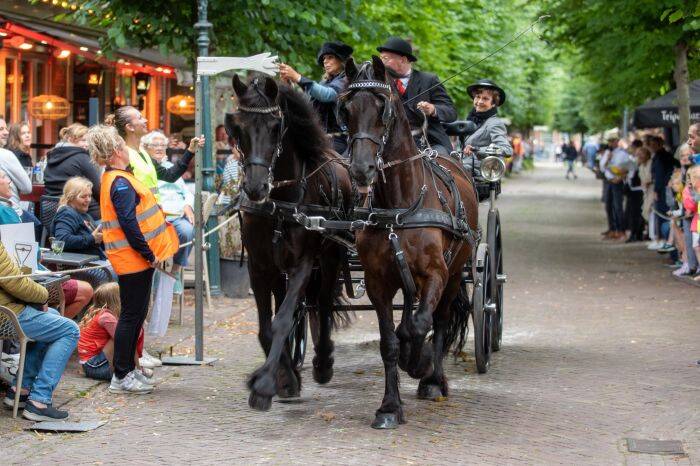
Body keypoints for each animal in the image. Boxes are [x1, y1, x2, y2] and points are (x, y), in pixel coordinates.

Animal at [227, 74, 352, 410]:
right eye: (238, 127)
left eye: (275, 126)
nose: (255, 187)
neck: (280, 203)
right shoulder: (259, 266)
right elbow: (266, 326)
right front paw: (283, 380)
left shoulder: (302, 264)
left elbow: (283, 320)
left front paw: (264, 386)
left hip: (331, 257)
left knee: (322, 303)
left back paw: (322, 363)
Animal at [340, 58, 482, 430]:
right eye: (346, 109)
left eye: (383, 108)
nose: (360, 170)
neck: (400, 207)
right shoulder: (378, 282)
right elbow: (389, 342)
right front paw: (389, 406)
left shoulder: (436, 274)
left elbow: (422, 324)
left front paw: (419, 364)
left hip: (455, 273)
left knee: (441, 321)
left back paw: (433, 380)